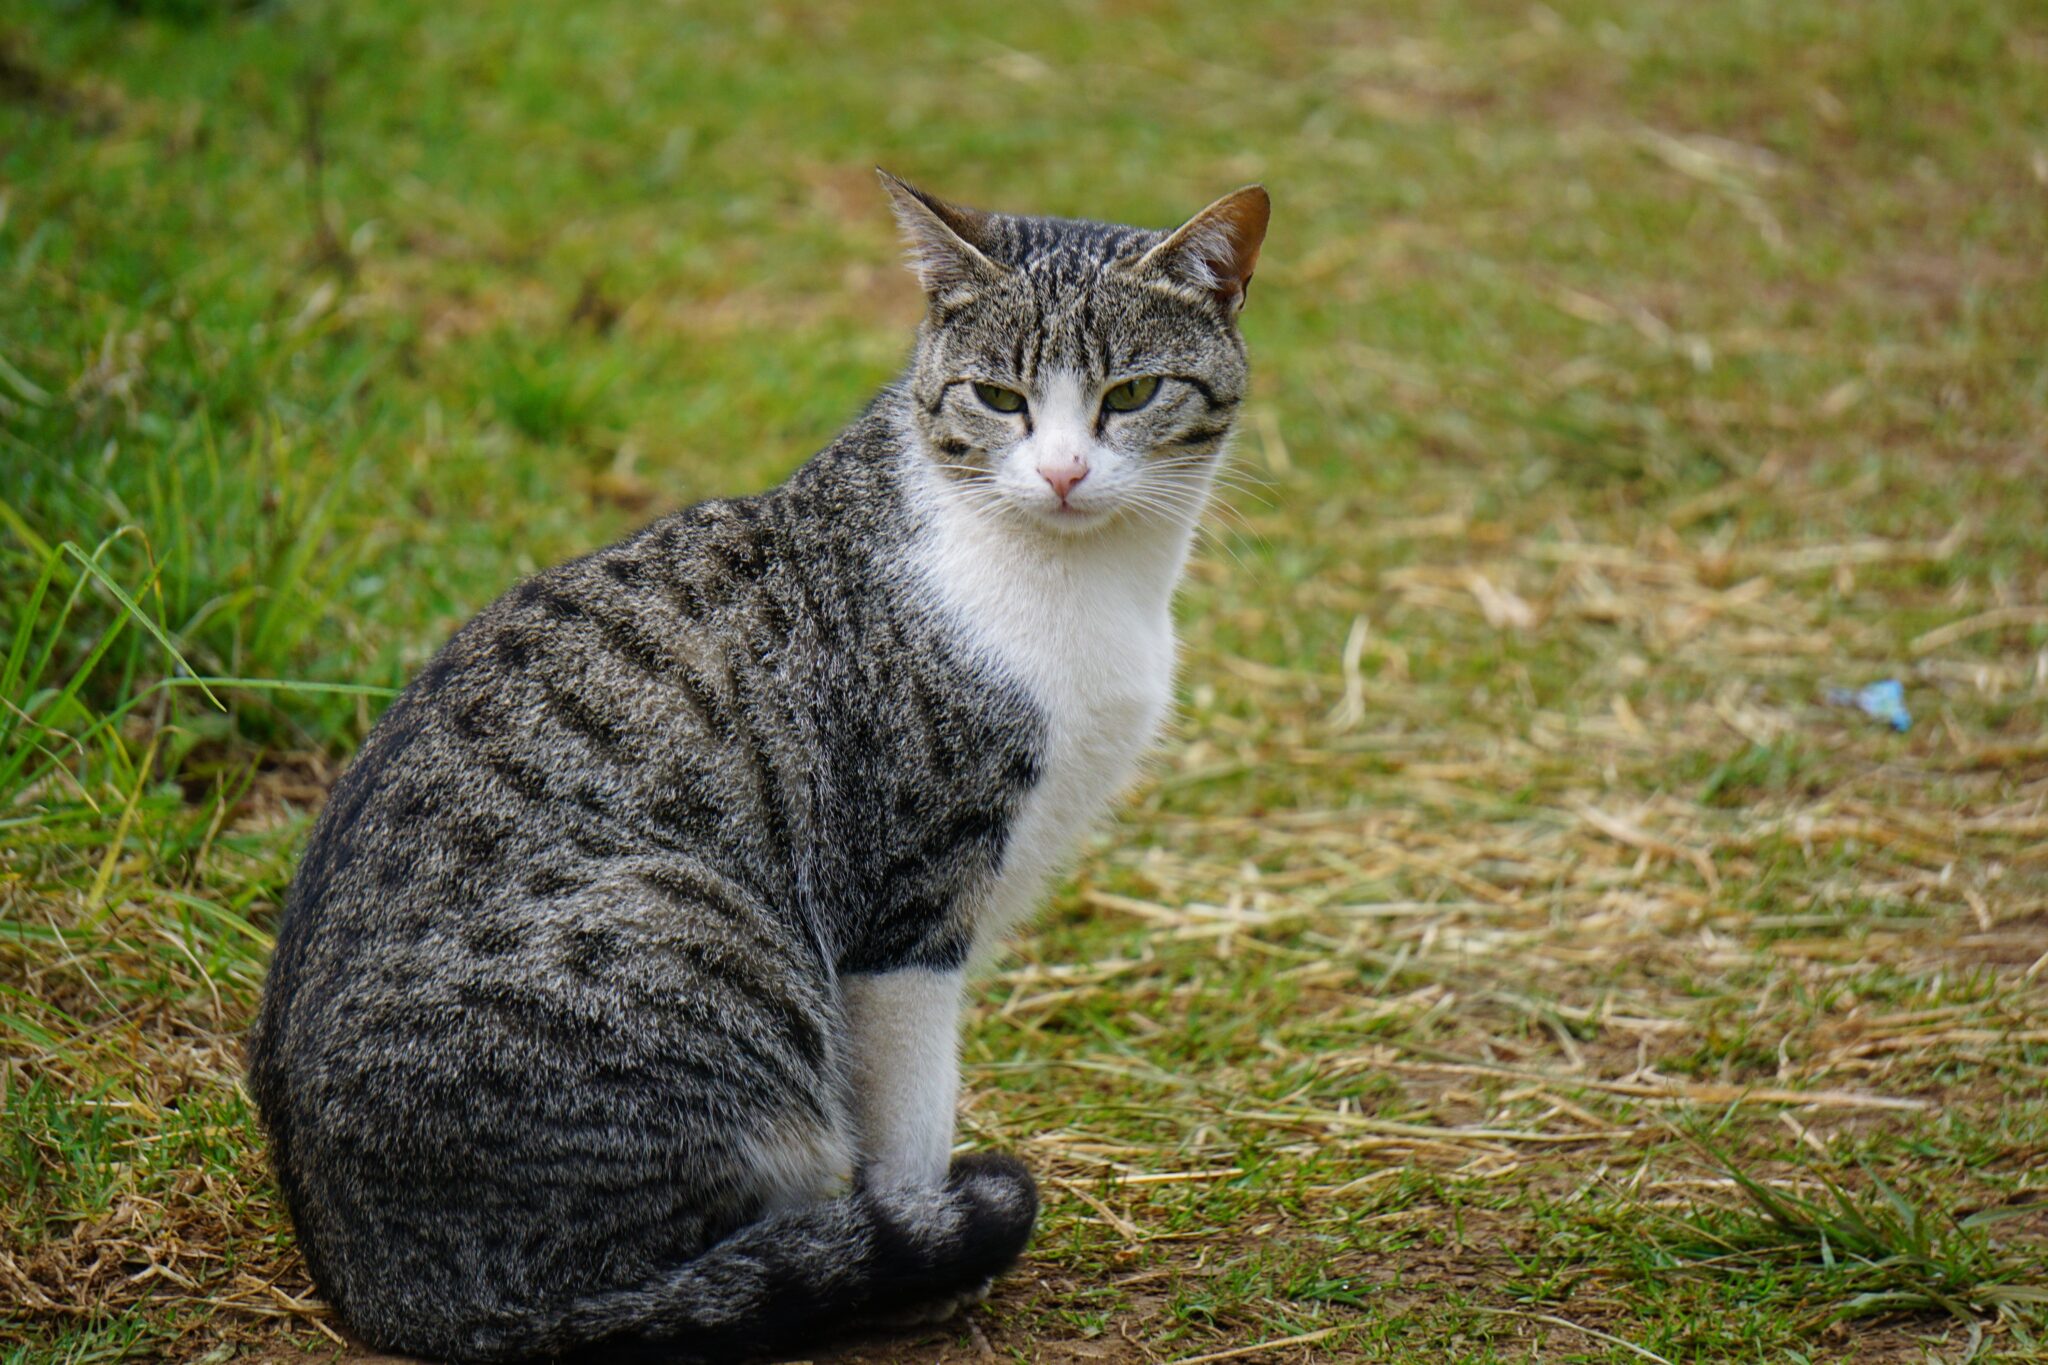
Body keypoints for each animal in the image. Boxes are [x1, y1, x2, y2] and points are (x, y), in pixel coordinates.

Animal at [247, 173, 1269, 1365]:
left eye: (1133, 392)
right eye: (998, 397)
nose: (1062, 471)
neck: (1082, 579)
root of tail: (381, 1287)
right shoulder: (903, 904)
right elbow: (909, 1110)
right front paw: (921, 1249)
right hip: (685, 933)